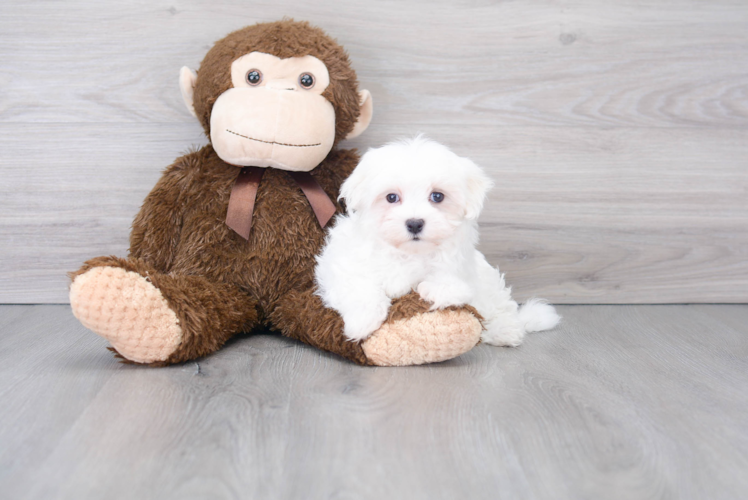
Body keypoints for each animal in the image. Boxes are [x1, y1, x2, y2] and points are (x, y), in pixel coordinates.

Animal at [312, 137, 560, 348]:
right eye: (391, 197)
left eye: (437, 196)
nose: (414, 223)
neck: (408, 253)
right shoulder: (342, 264)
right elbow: (358, 286)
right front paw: (362, 321)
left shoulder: (463, 271)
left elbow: (452, 285)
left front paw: (431, 287)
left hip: (491, 287)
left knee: (501, 310)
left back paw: (505, 331)